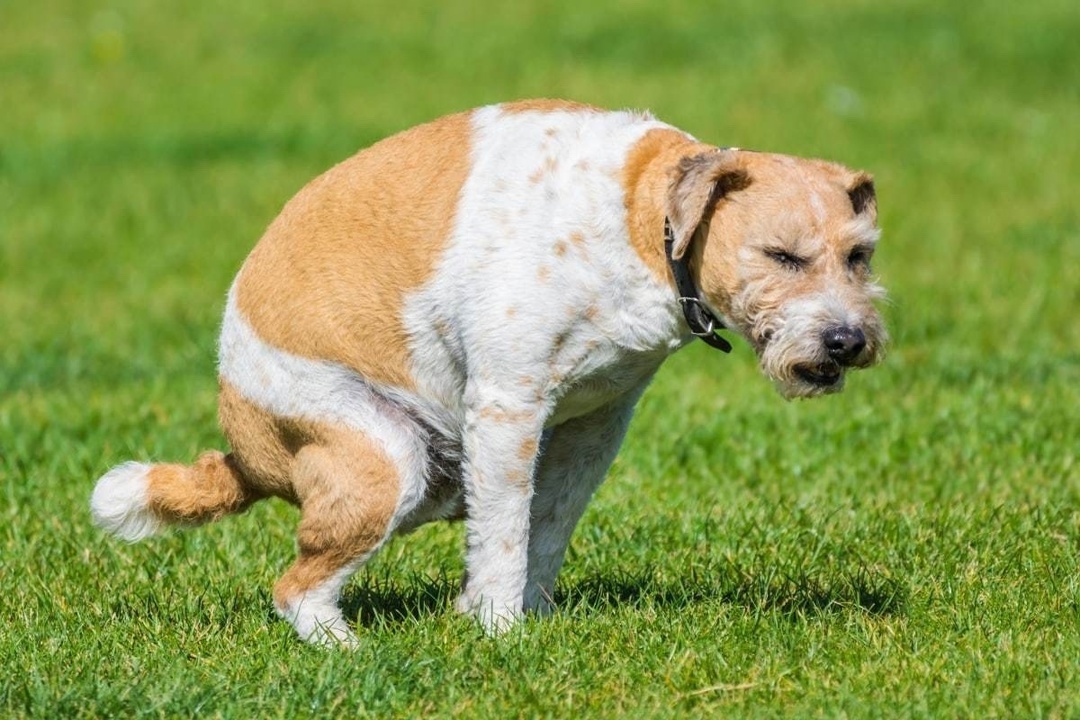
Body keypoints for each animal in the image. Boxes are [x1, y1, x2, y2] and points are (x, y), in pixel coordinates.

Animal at [90, 98, 885, 643]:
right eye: (781, 255)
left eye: (860, 255)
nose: (848, 340)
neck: (643, 219)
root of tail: (244, 456)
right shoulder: (508, 407)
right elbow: (505, 532)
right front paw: (501, 631)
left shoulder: (594, 427)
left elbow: (547, 525)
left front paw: (524, 617)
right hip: (387, 459)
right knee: (295, 587)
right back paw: (352, 651)